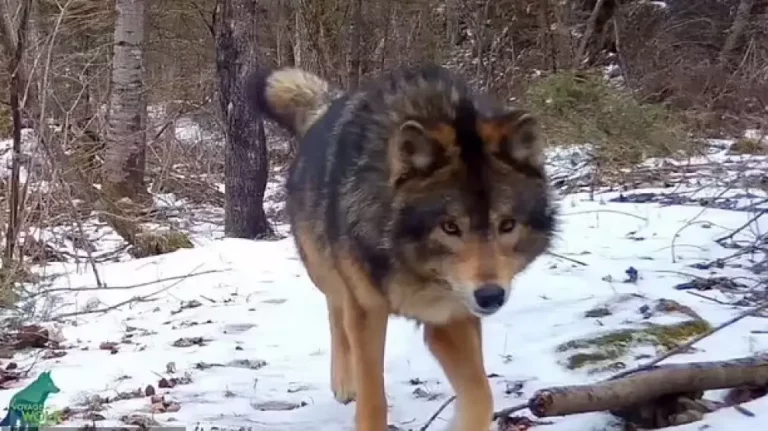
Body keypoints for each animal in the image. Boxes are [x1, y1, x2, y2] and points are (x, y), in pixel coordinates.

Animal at [249, 65, 556, 431]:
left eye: (507, 225)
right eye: (450, 227)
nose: (490, 296)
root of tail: (323, 108)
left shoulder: (451, 317)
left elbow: (482, 395)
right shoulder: (366, 311)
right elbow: (373, 400)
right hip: (326, 272)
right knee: (335, 312)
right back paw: (344, 383)